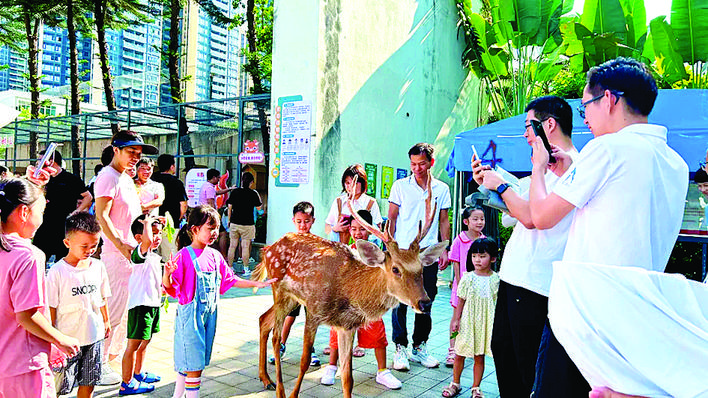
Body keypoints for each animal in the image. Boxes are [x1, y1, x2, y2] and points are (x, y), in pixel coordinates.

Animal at [252, 174, 446, 398]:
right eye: (396, 269)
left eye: (421, 269)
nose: (424, 302)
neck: (348, 290)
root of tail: (267, 248)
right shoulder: (314, 310)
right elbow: (304, 361)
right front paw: (293, 395)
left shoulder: (347, 326)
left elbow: (347, 376)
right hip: (279, 288)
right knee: (276, 335)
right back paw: (279, 388)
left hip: (291, 298)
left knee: (263, 320)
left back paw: (266, 379)